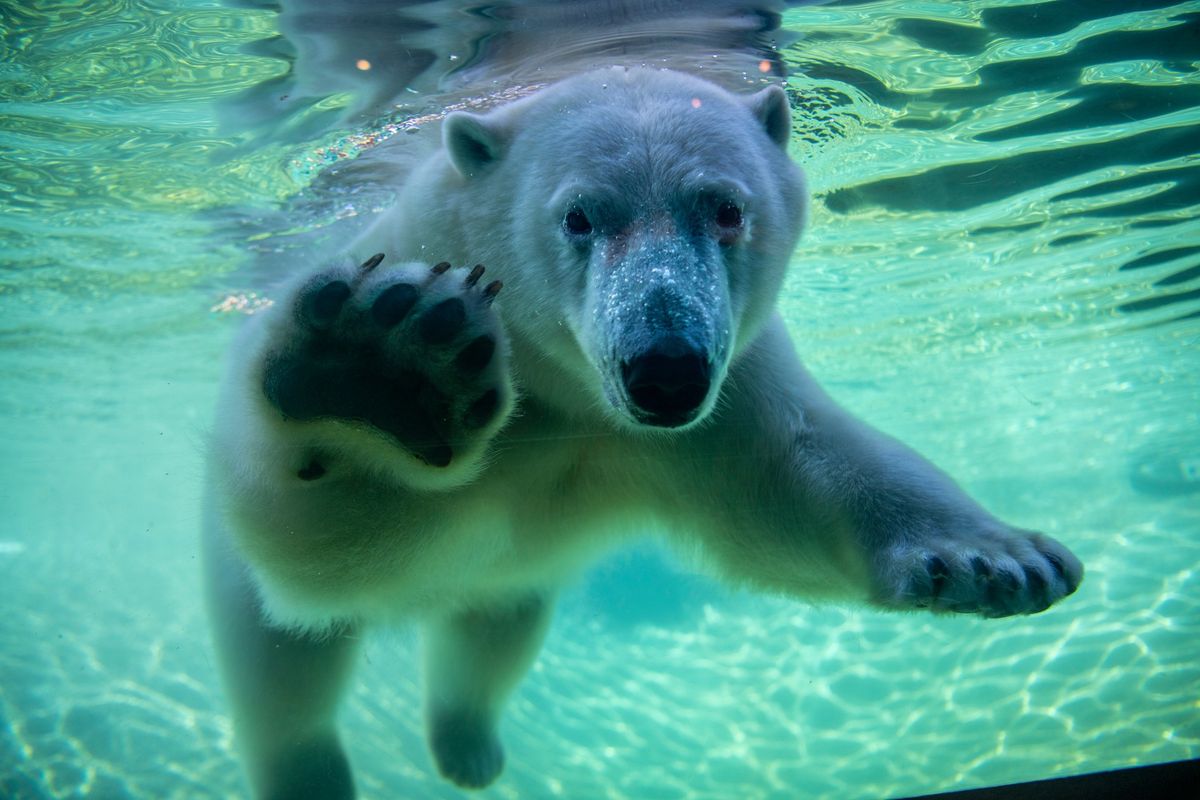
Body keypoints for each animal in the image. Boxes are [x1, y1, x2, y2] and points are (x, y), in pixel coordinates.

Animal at [201, 67, 1084, 796]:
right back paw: (312, 772)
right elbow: (333, 551)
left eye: (726, 208)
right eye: (579, 216)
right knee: (282, 674)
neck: (566, 392)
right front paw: (384, 372)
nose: (665, 369)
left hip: (518, 590)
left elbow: (796, 479)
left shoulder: (724, 401)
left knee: (490, 635)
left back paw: (468, 742)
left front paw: (995, 561)